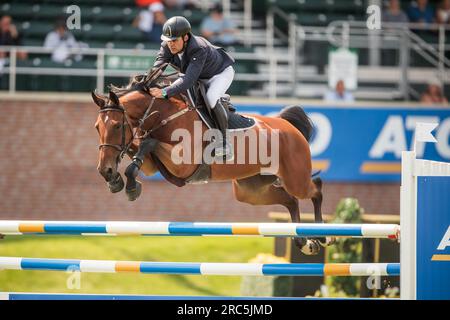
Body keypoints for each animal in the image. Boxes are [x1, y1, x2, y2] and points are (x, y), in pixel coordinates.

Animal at [92, 72, 334, 255]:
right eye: (97, 127)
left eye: (116, 126)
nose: (104, 170)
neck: (165, 115)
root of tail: (287, 125)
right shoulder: (153, 165)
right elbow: (138, 151)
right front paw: (117, 182)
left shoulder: (183, 163)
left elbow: (148, 144)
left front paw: (130, 187)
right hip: (251, 191)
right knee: (290, 200)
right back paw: (304, 242)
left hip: (295, 179)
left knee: (316, 188)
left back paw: (323, 236)